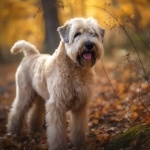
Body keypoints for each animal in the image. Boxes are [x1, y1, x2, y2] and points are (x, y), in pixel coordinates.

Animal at [7, 17, 105, 149]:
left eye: (93, 33)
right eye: (77, 34)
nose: (89, 45)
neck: (75, 69)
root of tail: (31, 54)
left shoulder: (81, 105)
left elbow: (79, 128)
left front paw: (79, 144)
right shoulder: (56, 105)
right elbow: (57, 132)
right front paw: (59, 146)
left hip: (41, 97)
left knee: (35, 113)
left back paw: (34, 129)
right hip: (25, 95)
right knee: (16, 112)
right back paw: (12, 132)